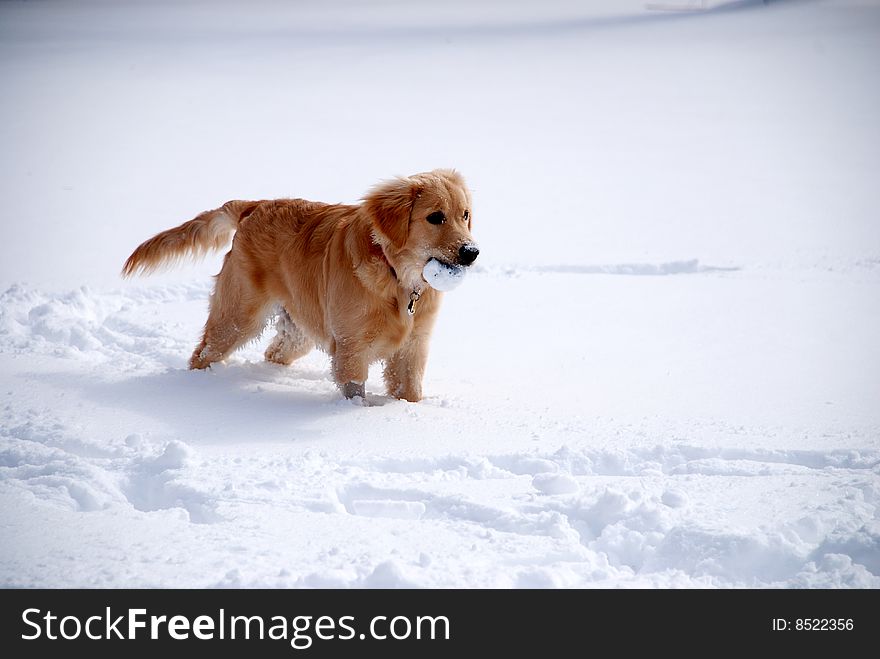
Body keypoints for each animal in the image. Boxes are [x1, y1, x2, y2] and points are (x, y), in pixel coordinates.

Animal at [121, 170, 478, 402]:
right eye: (435, 217)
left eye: (465, 215)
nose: (471, 252)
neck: (397, 279)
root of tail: (254, 206)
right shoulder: (351, 348)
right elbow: (355, 393)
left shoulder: (413, 347)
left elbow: (411, 392)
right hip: (237, 317)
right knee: (202, 353)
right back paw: (198, 388)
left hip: (300, 328)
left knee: (274, 351)